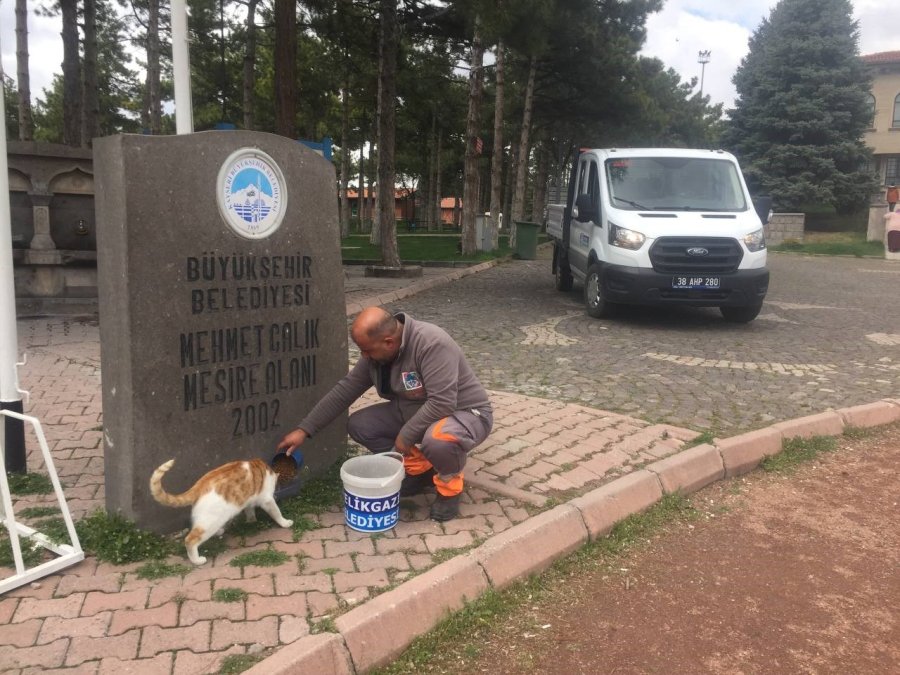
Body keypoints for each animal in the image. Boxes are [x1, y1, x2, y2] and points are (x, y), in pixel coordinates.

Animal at [149, 460, 294, 564]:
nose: (277, 491)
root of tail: (198, 486)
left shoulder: (248, 500)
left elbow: (249, 511)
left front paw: (251, 520)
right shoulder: (267, 500)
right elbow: (276, 513)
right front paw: (285, 522)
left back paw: (219, 532)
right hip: (210, 522)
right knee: (190, 540)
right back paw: (197, 560)